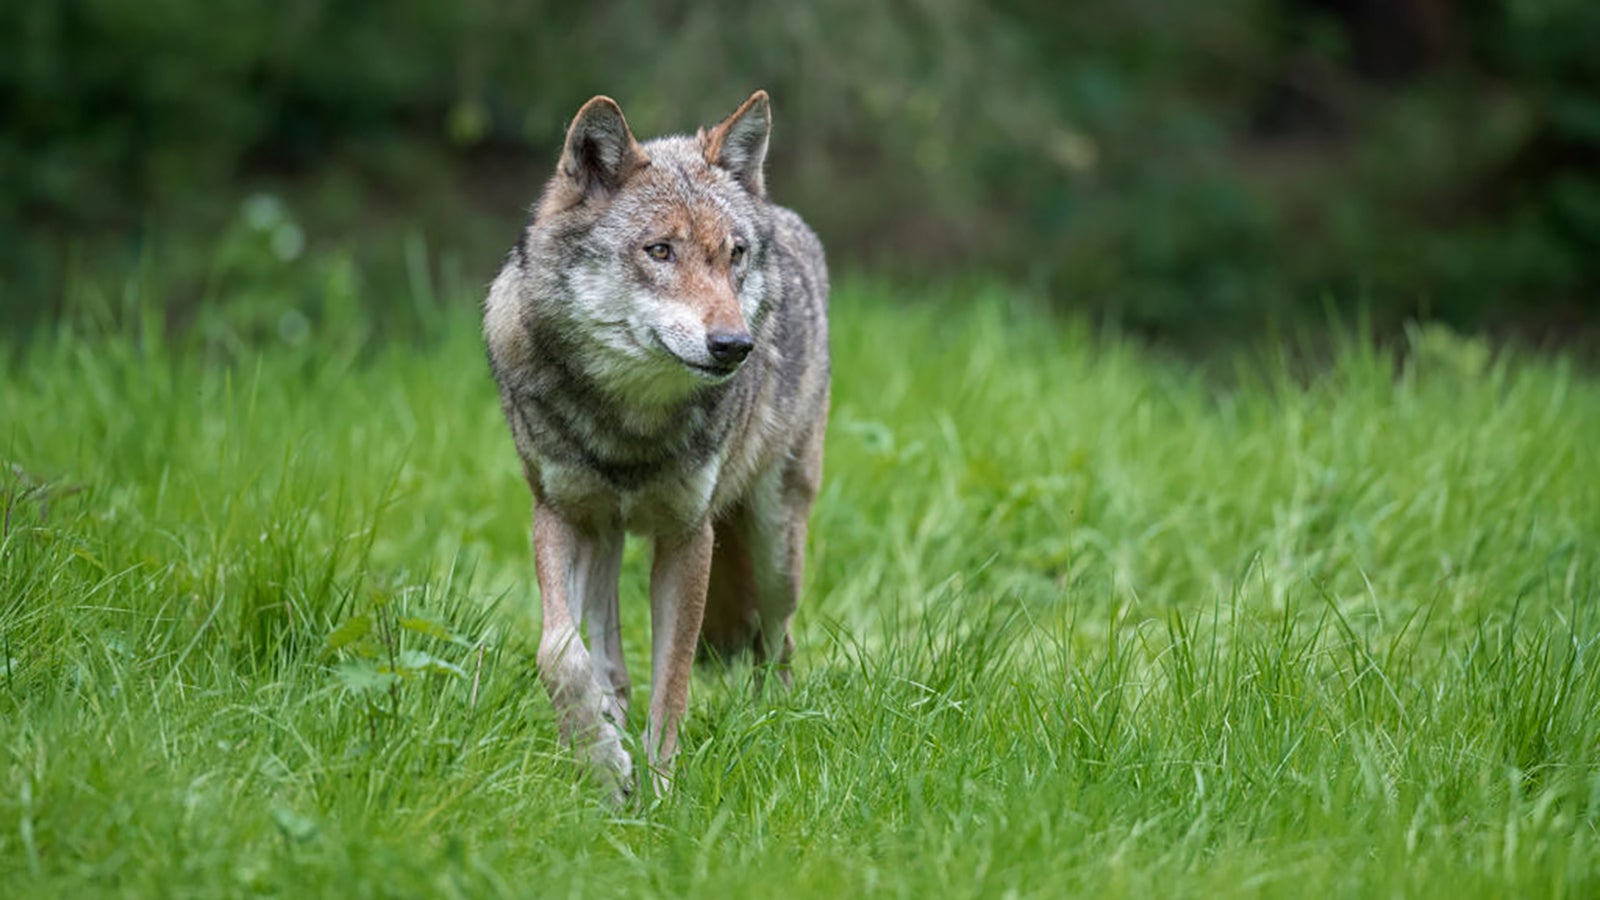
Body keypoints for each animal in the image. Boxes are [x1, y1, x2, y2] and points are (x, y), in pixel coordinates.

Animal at [482, 91, 830, 797]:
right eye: (660, 250)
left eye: (734, 254)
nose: (734, 346)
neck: (629, 424)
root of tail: (785, 217)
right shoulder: (557, 514)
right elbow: (559, 652)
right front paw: (599, 758)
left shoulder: (688, 536)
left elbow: (672, 686)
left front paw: (661, 795)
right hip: (606, 534)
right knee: (607, 653)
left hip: (775, 550)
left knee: (776, 642)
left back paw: (771, 722)